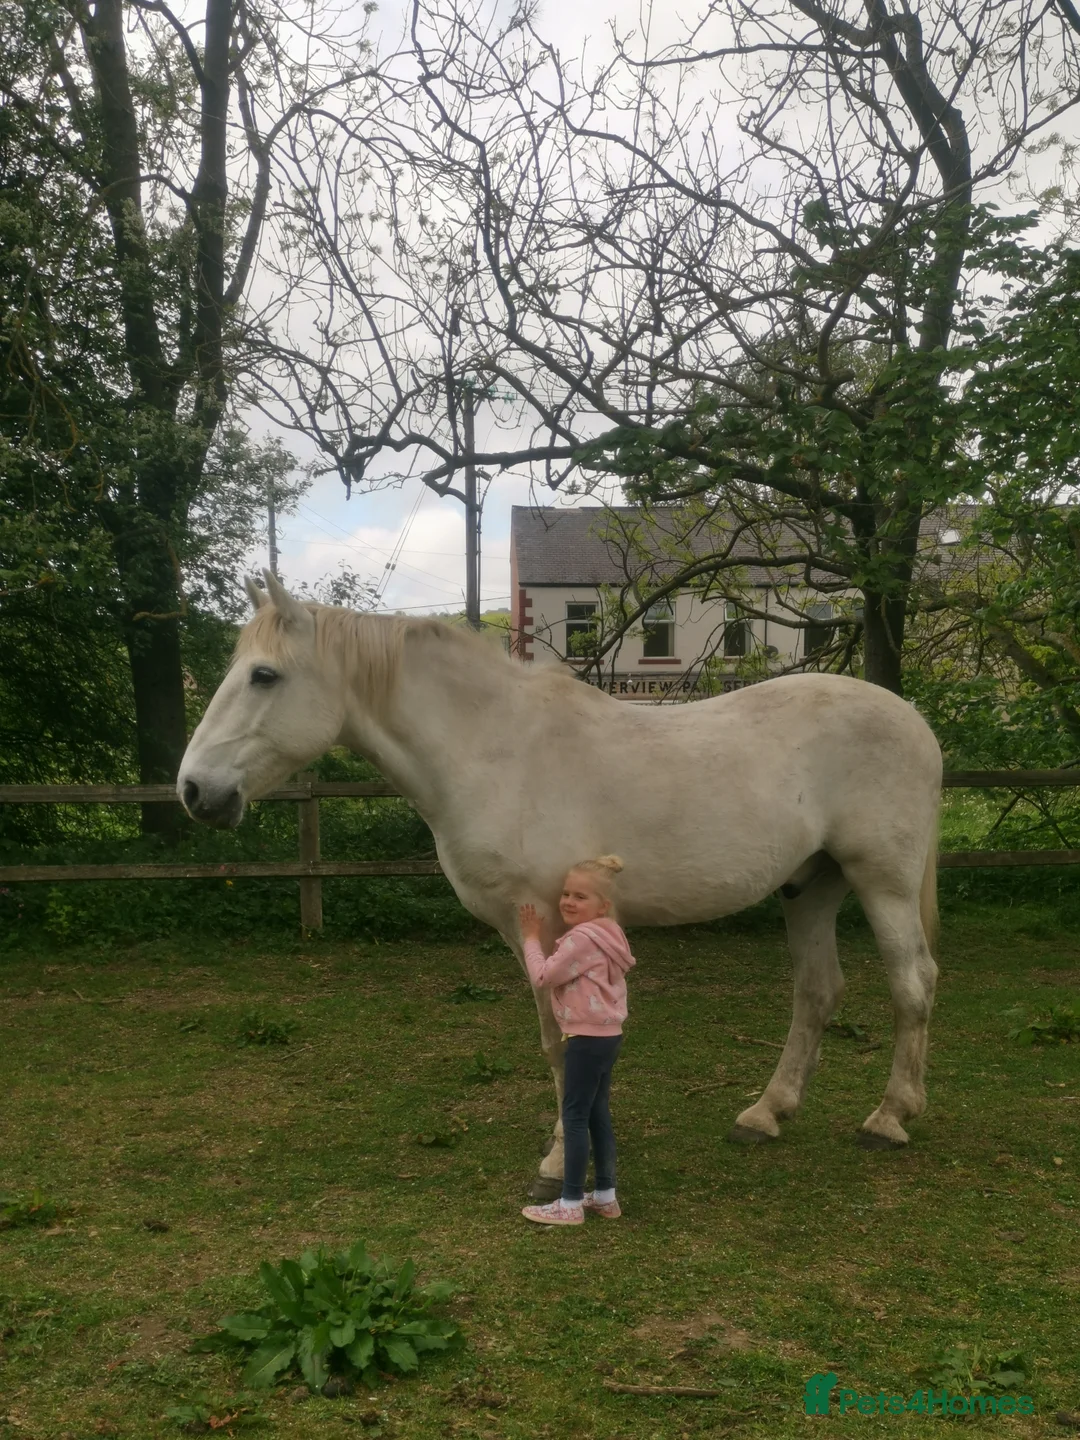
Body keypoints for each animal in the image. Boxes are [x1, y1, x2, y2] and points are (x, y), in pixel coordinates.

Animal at [177, 571, 942, 1200]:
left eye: (264, 675)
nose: (194, 791)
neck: (494, 749)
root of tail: (913, 719)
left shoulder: (544, 921)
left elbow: (560, 1040)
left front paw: (557, 1161)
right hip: (809, 887)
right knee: (817, 991)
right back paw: (766, 1113)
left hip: (883, 883)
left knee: (913, 984)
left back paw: (889, 1117)